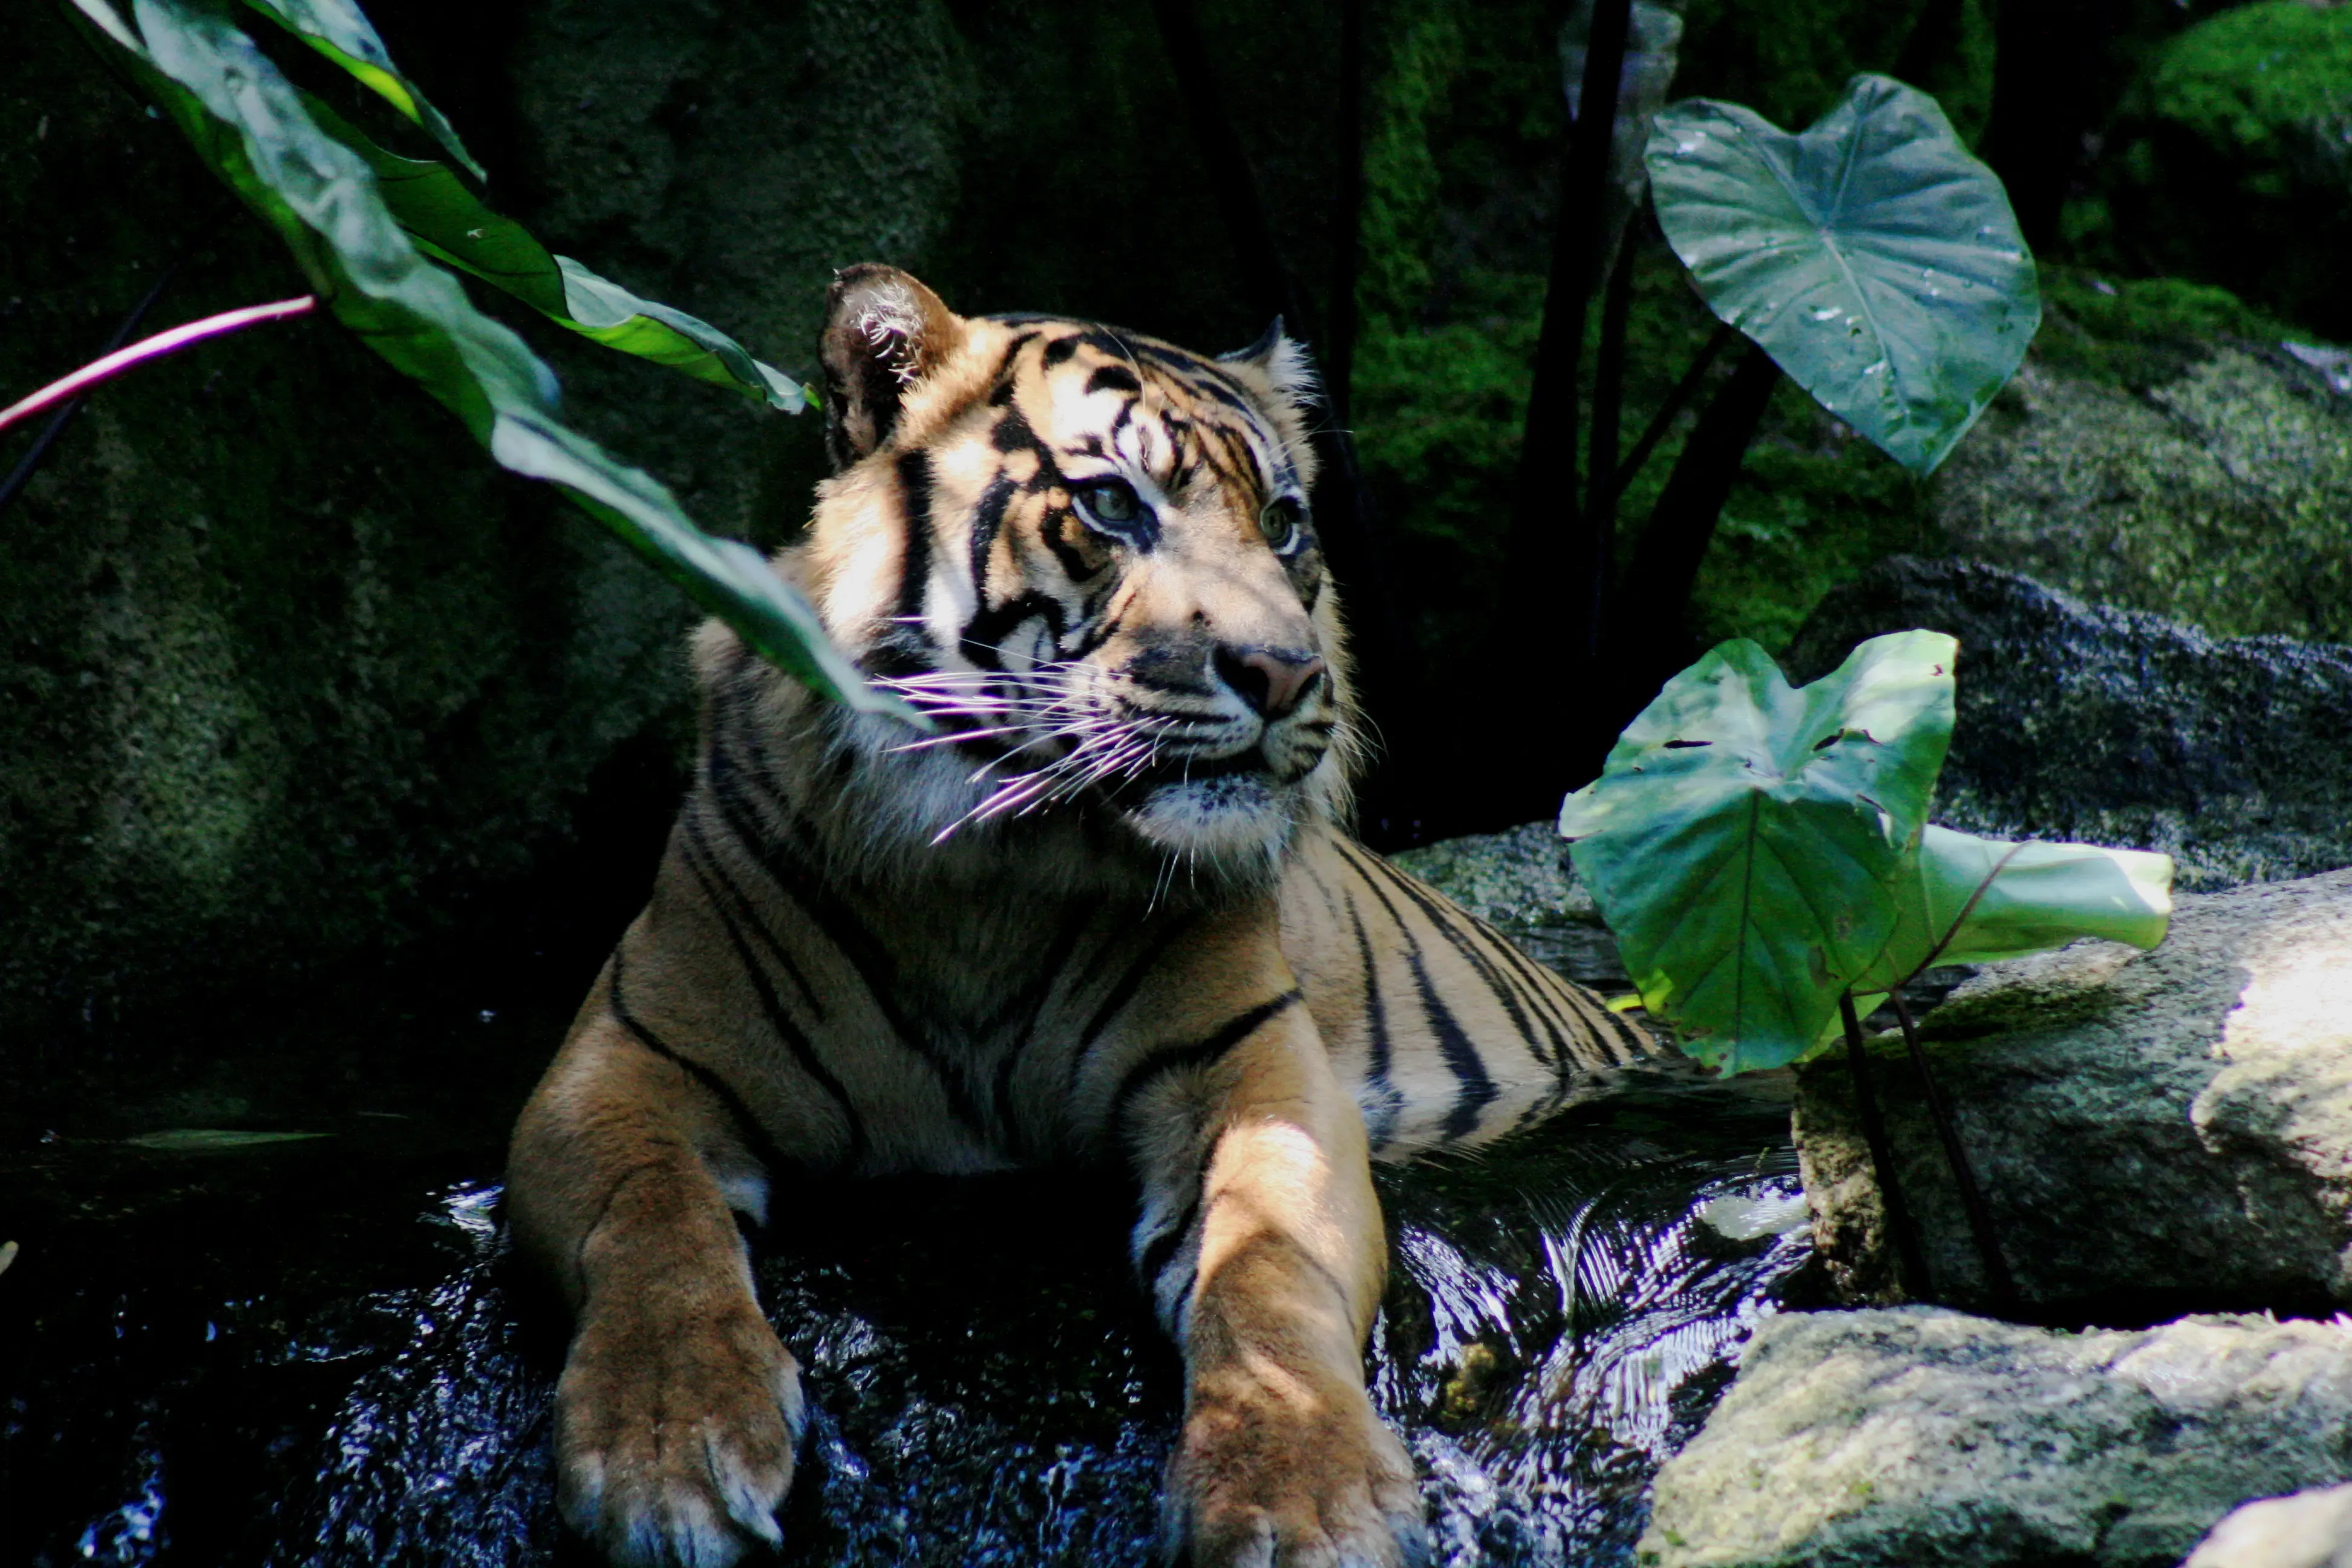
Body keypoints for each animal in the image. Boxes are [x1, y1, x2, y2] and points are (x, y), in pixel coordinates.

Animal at [504, 264, 1657, 1568]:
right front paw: (665, 1446)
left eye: (1285, 522)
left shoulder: (1250, 1068)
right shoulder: (622, 1062)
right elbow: (650, 1231)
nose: (1284, 674)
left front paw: (1297, 1495)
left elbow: (1266, 1268)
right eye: (1111, 504)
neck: (985, 871)